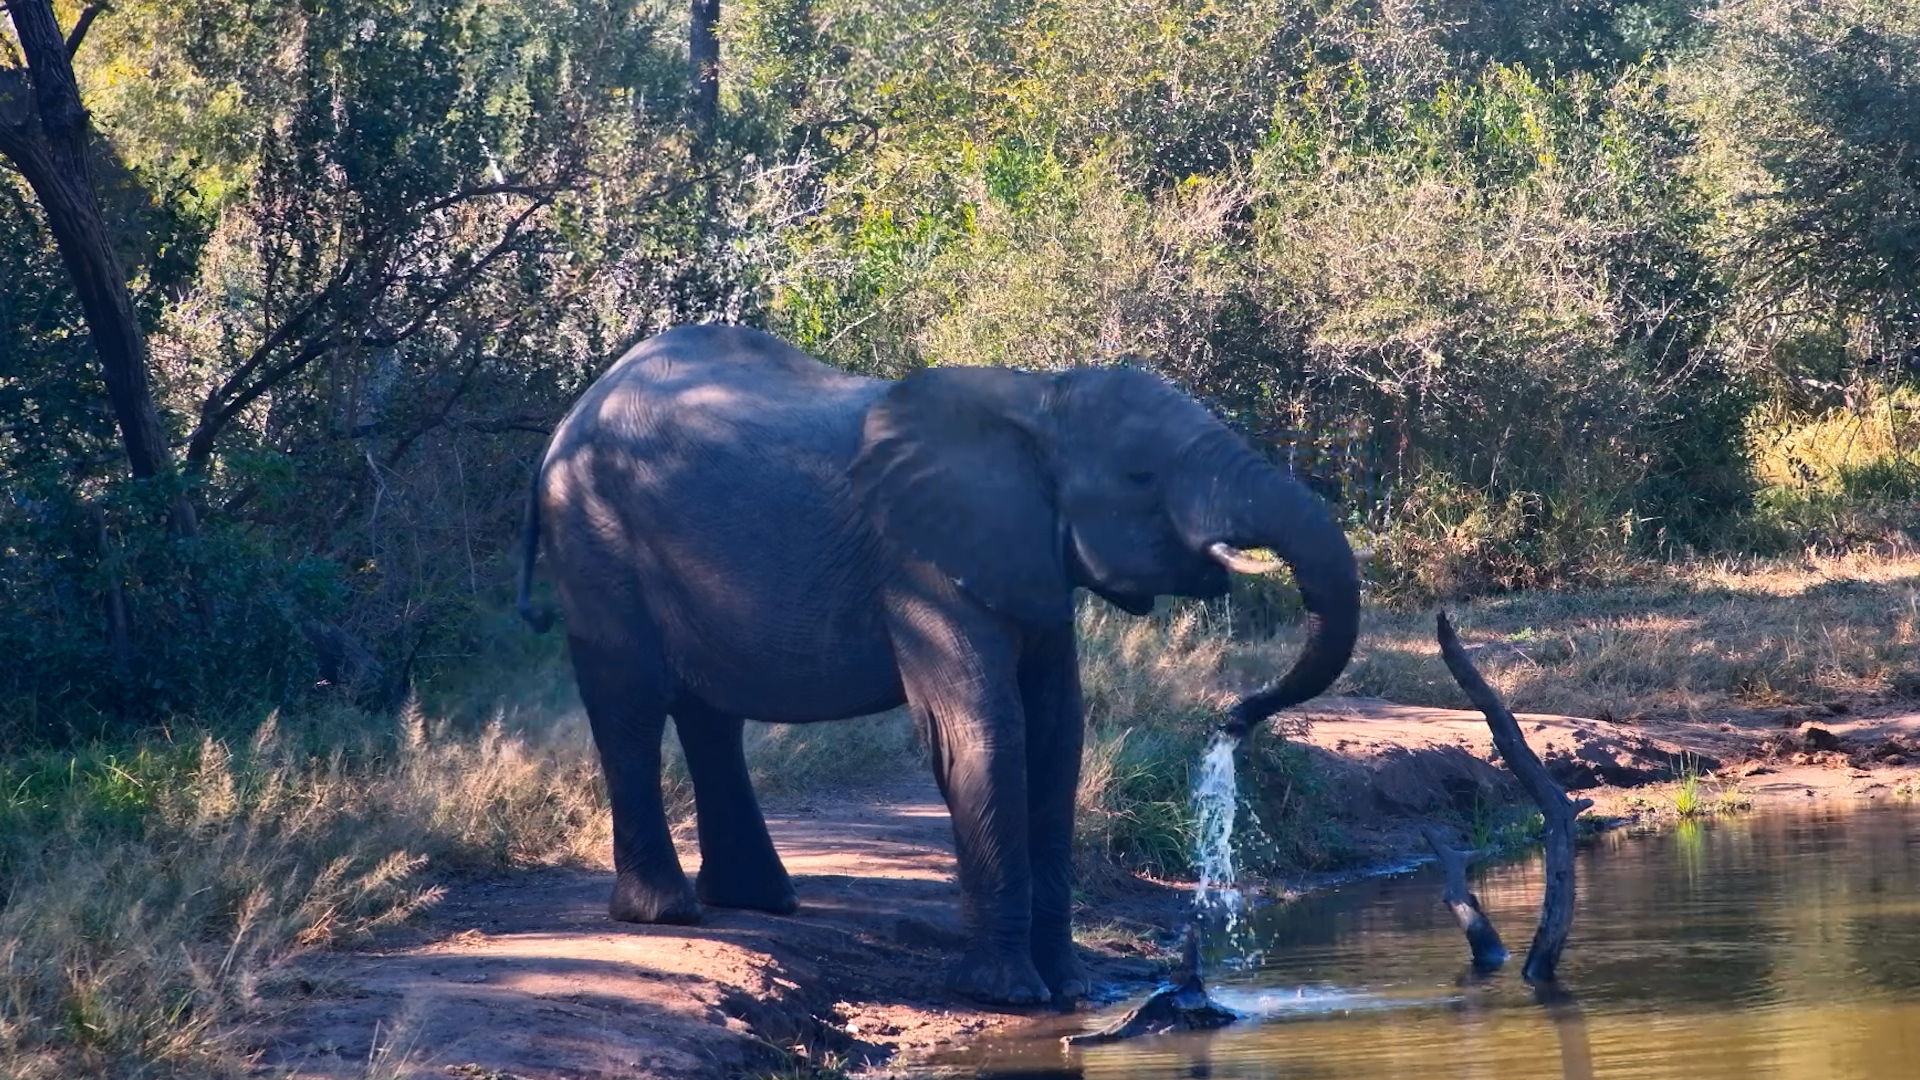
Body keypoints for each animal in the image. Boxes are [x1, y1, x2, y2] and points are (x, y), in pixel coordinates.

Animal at [515, 324, 1360, 1007]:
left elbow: (1058, 735)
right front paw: (1007, 997)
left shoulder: (1029, 558)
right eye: (1140, 477)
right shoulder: (921, 562)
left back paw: (761, 903)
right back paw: (666, 913)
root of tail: (565, 423)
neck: (1036, 399)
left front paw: (1073, 992)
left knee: (709, 717)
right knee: (630, 706)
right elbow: (986, 731)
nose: (1233, 718)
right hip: (595, 538)